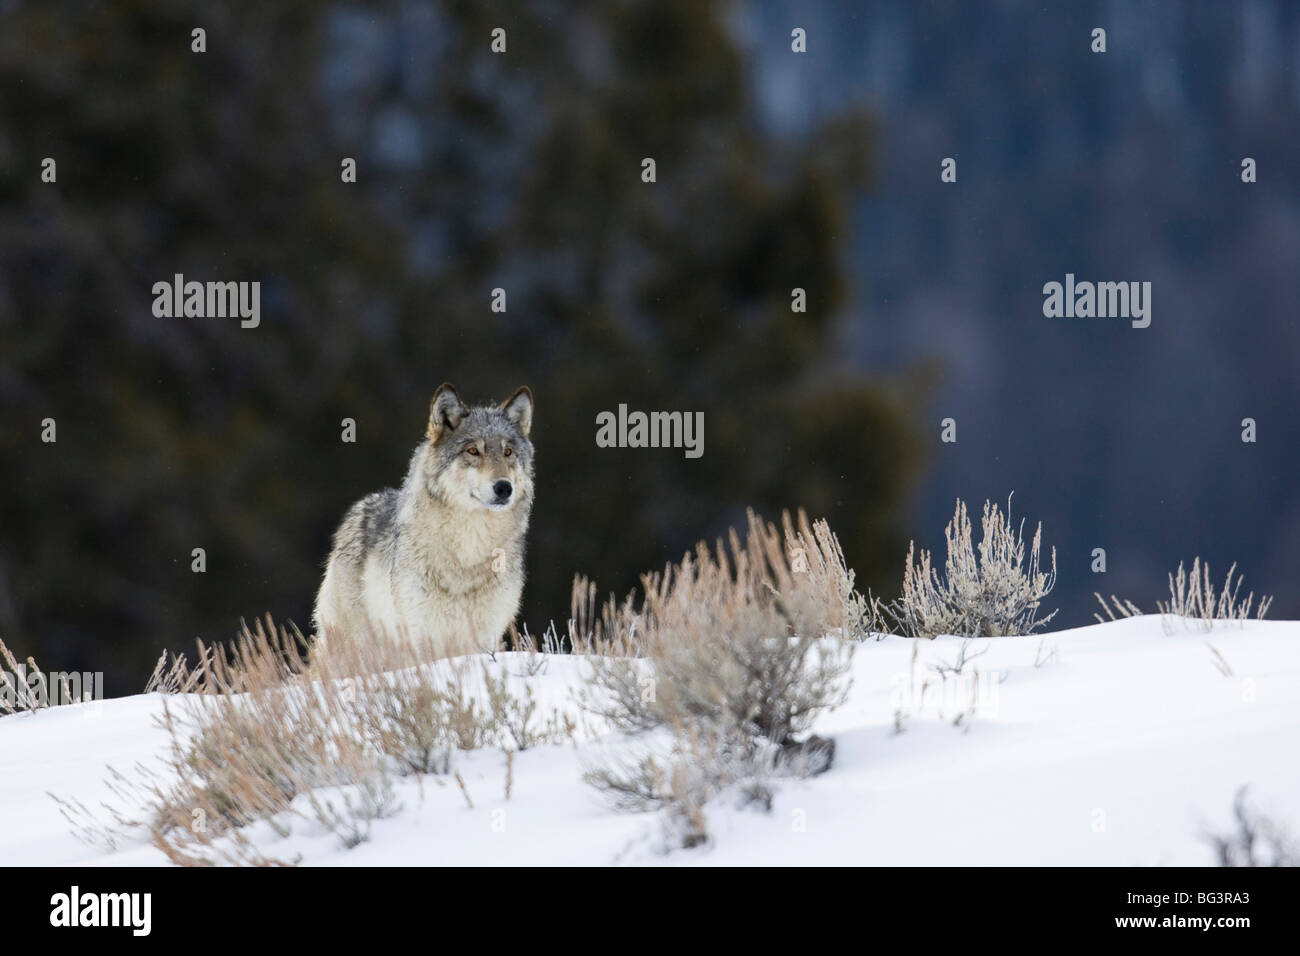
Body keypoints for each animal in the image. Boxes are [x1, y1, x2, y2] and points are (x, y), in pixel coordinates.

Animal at [314, 383, 534, 658]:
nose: (504, 488)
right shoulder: (421, 632)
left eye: (508, 452)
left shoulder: (485, 636)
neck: (469, 547)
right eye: (473, 451)